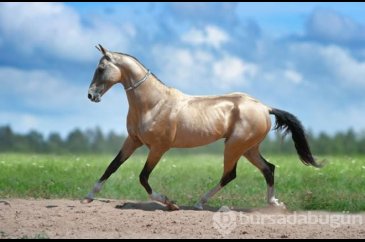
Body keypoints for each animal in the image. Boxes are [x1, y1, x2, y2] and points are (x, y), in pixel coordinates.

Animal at [83, 44, 322, 210]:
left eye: (101, 68)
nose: (91, 95)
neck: (153, 104)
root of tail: (265, 107)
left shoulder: (158, 148)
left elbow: (143, 177)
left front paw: (169, 202)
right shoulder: (133, 141)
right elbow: (112, 166)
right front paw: (89, 196)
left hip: (234, 147)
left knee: (230, 175)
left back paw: (200, 202)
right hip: (248, 149)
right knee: (268, 169)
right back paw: (274, 203)